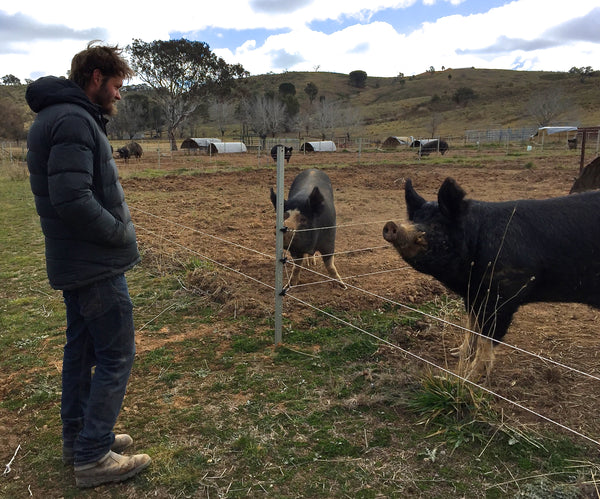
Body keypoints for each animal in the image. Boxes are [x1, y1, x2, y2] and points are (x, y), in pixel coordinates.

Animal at [382, 178, 600, 380]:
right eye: (415, 219)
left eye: (437, 226)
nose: (391, 225)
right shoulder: (473, 295)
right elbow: (471, 326)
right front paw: (456, 354)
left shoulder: (502, 294)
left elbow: (487, 337)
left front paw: (470, 377)